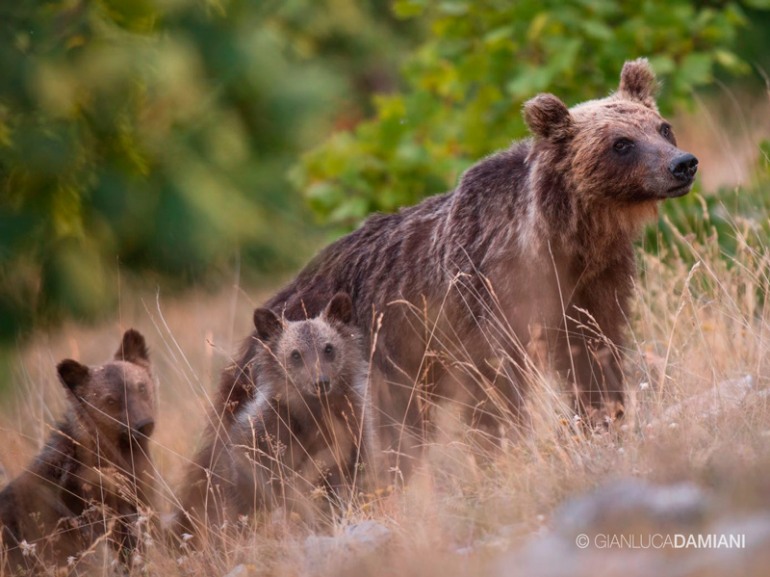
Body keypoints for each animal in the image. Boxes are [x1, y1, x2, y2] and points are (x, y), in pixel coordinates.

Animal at [174, 294, 372, 536]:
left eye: (328, 348)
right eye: (295, 354)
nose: (320, 382)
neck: (313, 415)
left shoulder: (352, 429)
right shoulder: (264, 436)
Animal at [216, 60, 696, 476]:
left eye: (661, 127)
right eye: (621, 143)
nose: (682, 163)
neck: (567, 241)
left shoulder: (595, 285)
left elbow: (596, 353)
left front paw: (606, 419)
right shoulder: (487, 298)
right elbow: (494, 385)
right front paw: (504, 452)